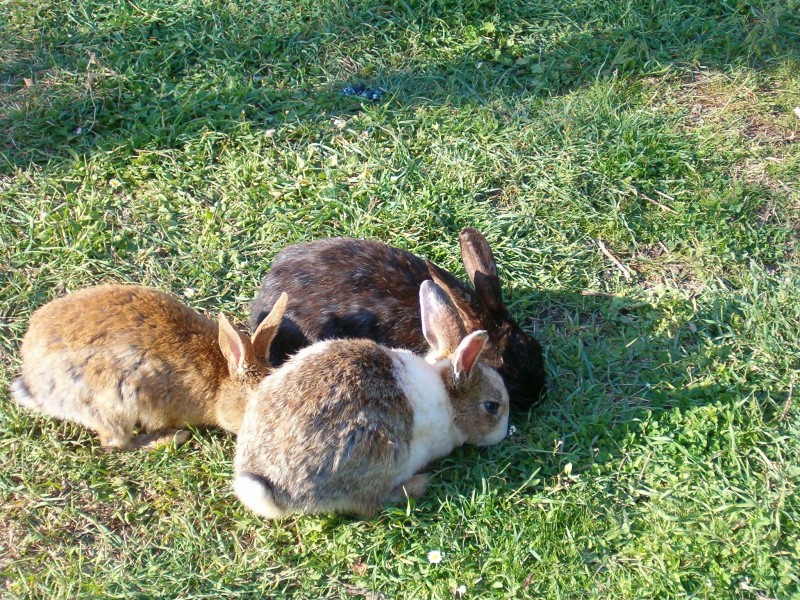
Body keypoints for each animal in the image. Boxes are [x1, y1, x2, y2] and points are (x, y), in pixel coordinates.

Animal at [231, 278, 510, 516]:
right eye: (492, 406)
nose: (502, 435)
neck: (447, 398)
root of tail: (274, 490)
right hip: (378, 454)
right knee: (372, 504)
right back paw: (419, 483)